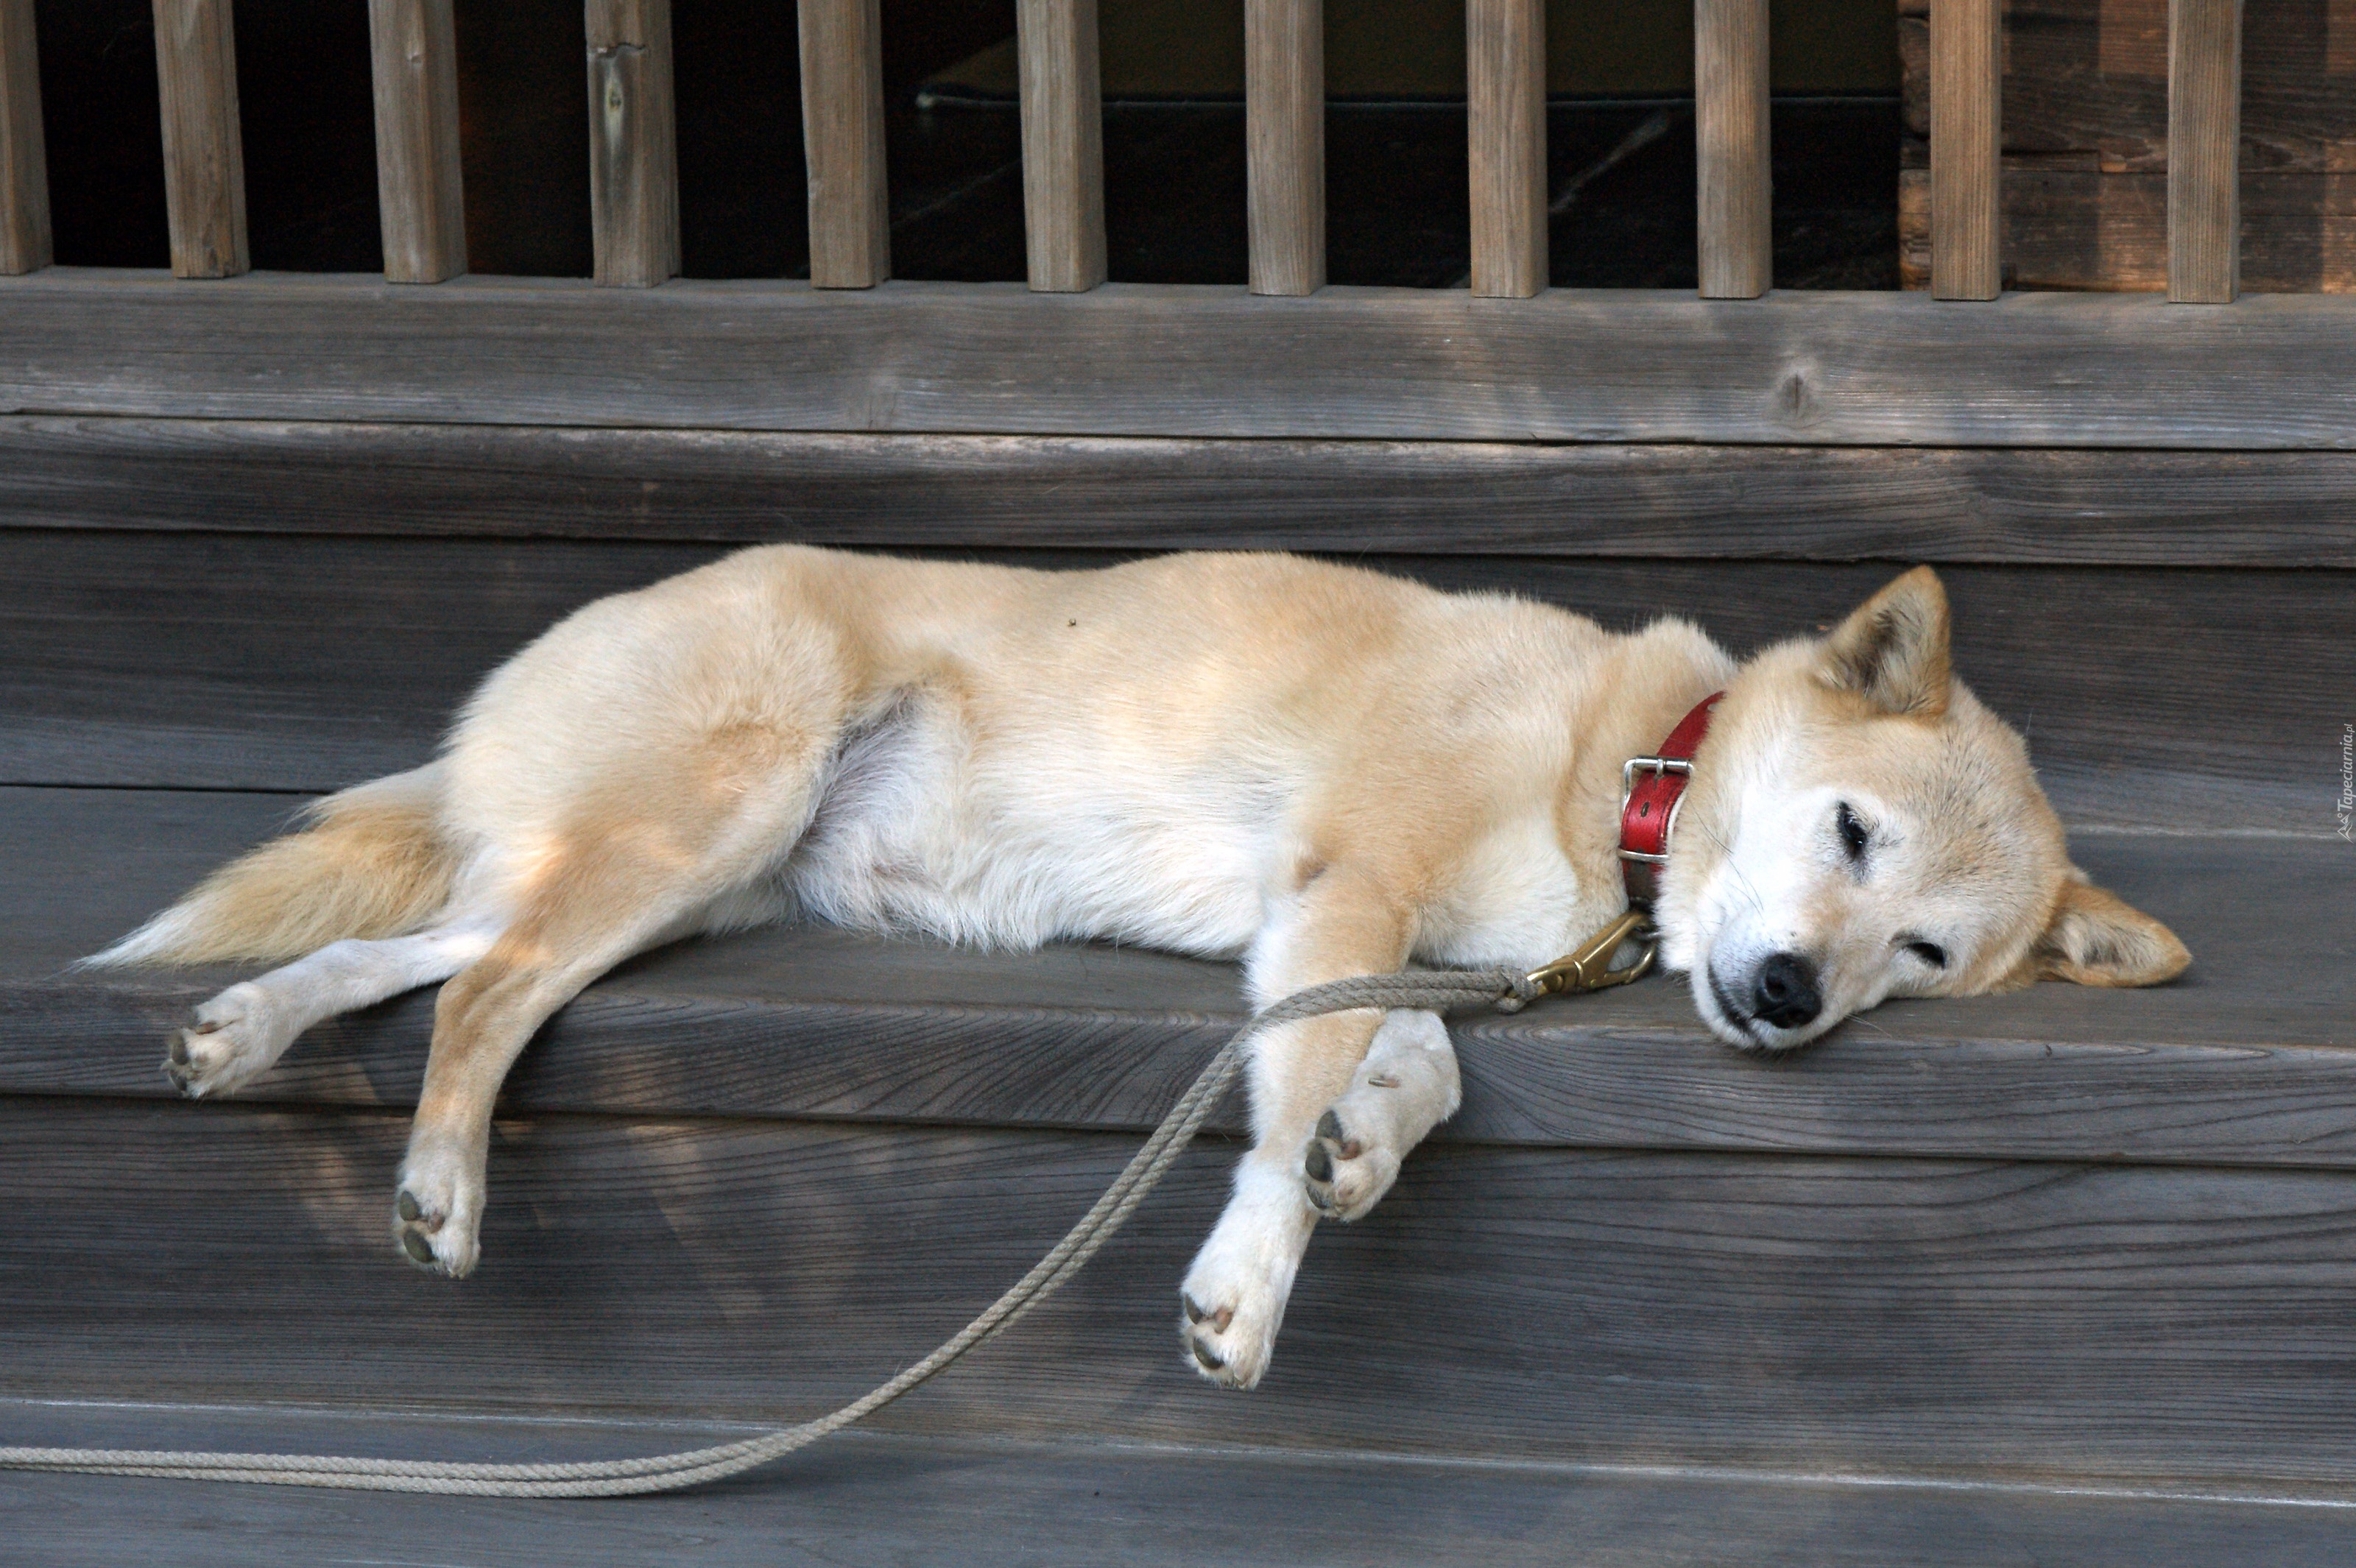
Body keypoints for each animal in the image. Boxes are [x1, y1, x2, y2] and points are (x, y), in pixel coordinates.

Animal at [91, 543, 2186, 1384]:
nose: (1790, 1003)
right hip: (700, 825)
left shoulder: (1373, 950)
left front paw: (1365, 1153)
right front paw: (1251, 1271)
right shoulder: (1340, 903)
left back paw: (255, 1021)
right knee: (481, 990)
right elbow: (1288, 1105)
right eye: (1849, 835)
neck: (1616, 775)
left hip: (682, 882)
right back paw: (438, 1178)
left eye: (1922, 954)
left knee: (438, 939)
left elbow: (1413, 1071)